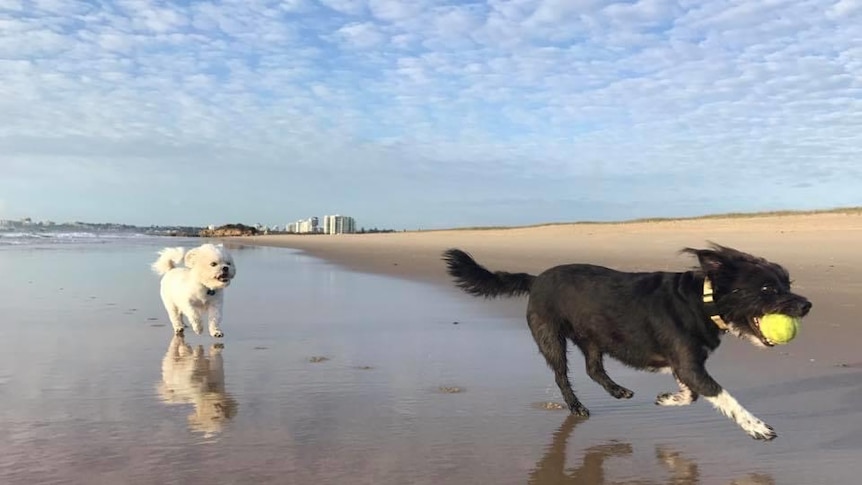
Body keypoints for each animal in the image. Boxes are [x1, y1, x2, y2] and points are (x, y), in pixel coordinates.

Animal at [442, 242, 812, 438]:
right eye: (767, 288)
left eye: (787, 282)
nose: (807, 305)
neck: (700, 300)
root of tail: (535, 279)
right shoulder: (689, 365)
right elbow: (722, 396)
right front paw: (757, 426)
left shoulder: (684, 366)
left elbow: (691, 394)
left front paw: (668, 399)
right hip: (550, 336)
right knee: (562, 375)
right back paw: (576, 407)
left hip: (593, 337)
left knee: (593, 368)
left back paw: (618, 391)